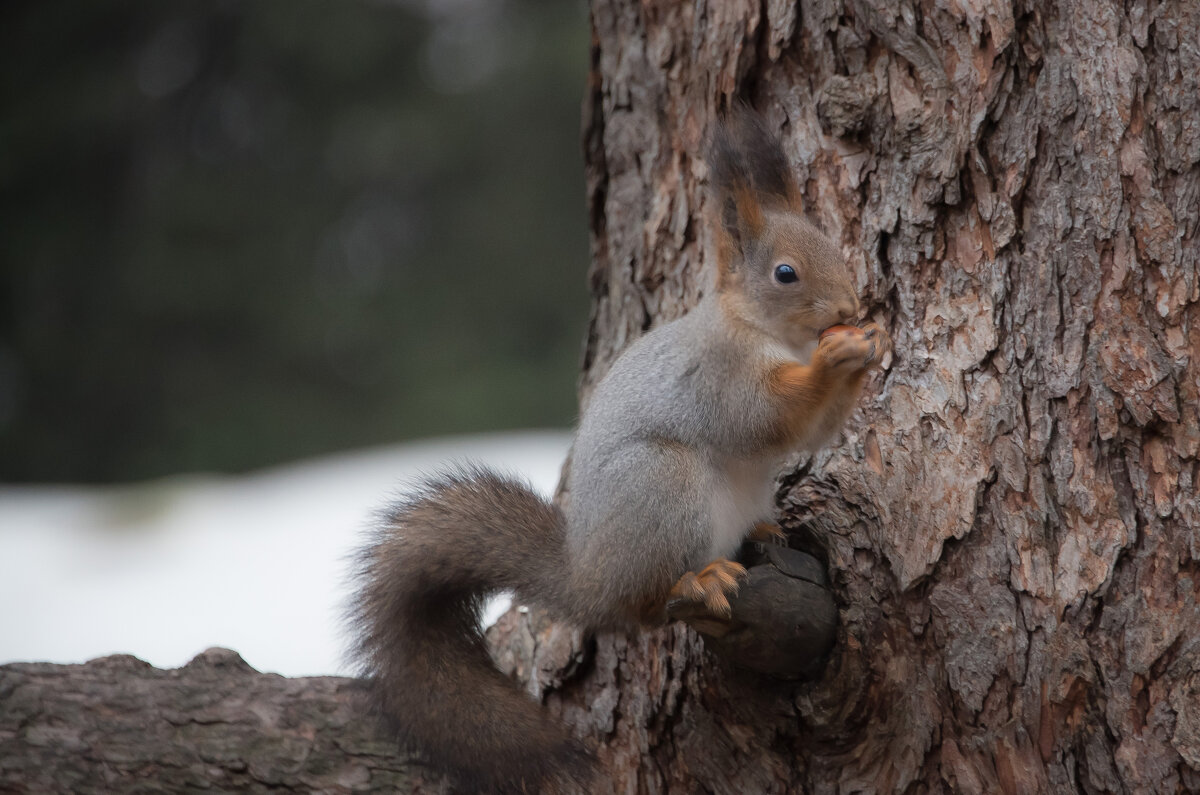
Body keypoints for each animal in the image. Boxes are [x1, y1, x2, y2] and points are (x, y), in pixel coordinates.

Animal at [348, 109, 892, 792]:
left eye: (834, 248)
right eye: (785, 274)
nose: (850, 306)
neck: (765, 333)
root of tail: (590, 577)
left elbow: (813, 433)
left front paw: (871, 343)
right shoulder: (720, 377)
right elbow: (765, 420)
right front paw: (835, 358)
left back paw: (764, 533)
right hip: (663, 486)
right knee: (648, 606)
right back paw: (701, 577)